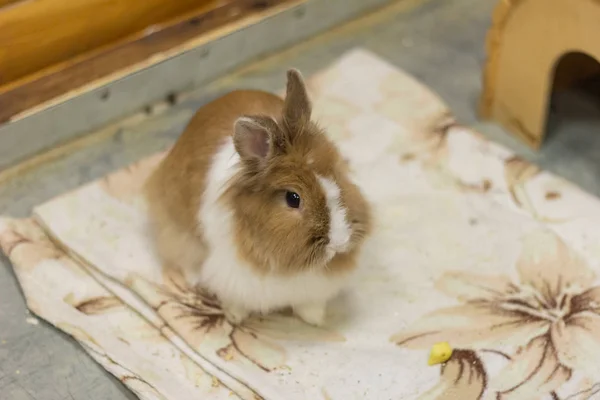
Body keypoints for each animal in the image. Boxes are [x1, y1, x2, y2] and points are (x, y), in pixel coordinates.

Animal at [144, 69, 370, 324]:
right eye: (293, 198)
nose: (339, 243)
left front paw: (315, 318)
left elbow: (308, 303)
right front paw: (234, 317)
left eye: (337, 175)